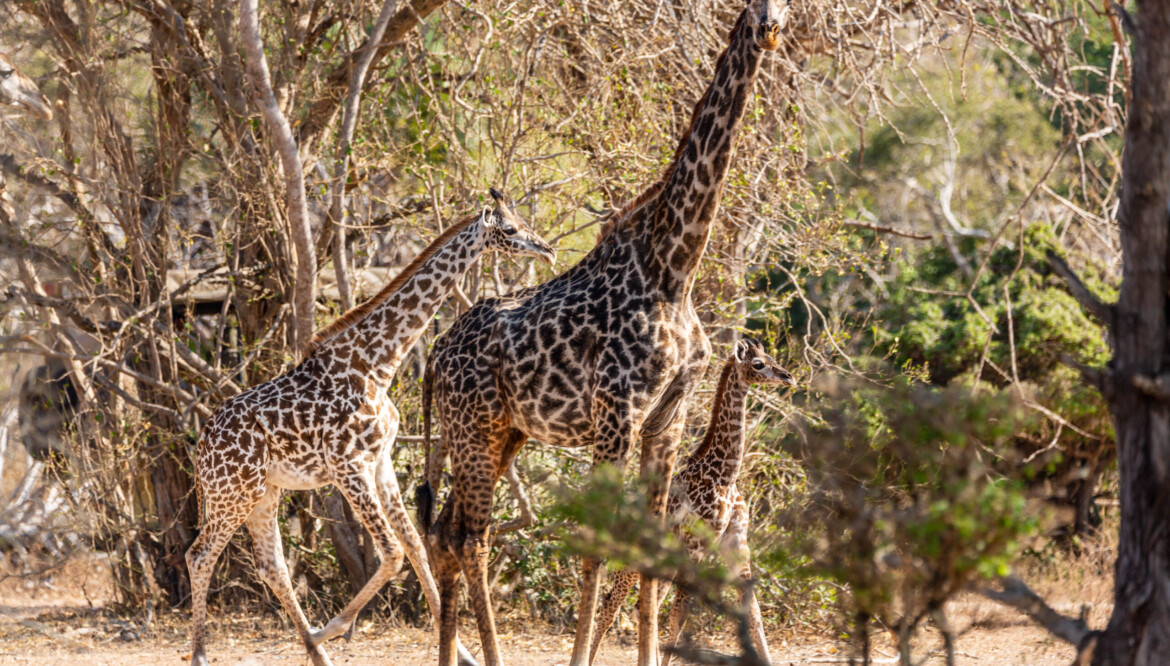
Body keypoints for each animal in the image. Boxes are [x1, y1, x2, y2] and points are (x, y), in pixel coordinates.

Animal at [186, 187, 556, 664]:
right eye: (510, 229)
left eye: (524, 223)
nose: (546, 249)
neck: (376, 364)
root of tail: (201, 447)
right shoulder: (348, 466)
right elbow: (393, 553)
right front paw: (334, 627)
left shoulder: (379, 462)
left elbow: (414, 545)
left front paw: (463, 651)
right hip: (232, 494)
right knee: (200, 555)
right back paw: (204, 654)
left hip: (263, 493)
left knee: (272, 565)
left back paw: (315, 653)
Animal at [594, 337, 795, 664]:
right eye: (758, 364)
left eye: (772, 359)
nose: (788, 376)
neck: (725, 475)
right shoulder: (696, 546)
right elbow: (680, 612)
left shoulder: (737, 543)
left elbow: (753, 612)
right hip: (638, 557)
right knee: (612, 604)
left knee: (644, 606)